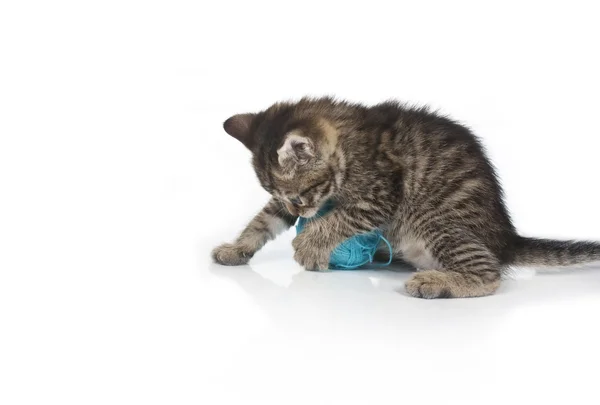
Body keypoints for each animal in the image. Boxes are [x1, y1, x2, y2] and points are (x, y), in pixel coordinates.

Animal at [211, 96, 600, 298]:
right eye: (285, 197)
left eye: (302, 194)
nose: (301, 211)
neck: (350, 143)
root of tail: (506, 239)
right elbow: (264, 220)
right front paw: (237, 247)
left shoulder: (380, 194)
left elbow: (340, 217)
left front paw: (310, 244)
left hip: (436, 220)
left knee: (489, 272)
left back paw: (439, 282)